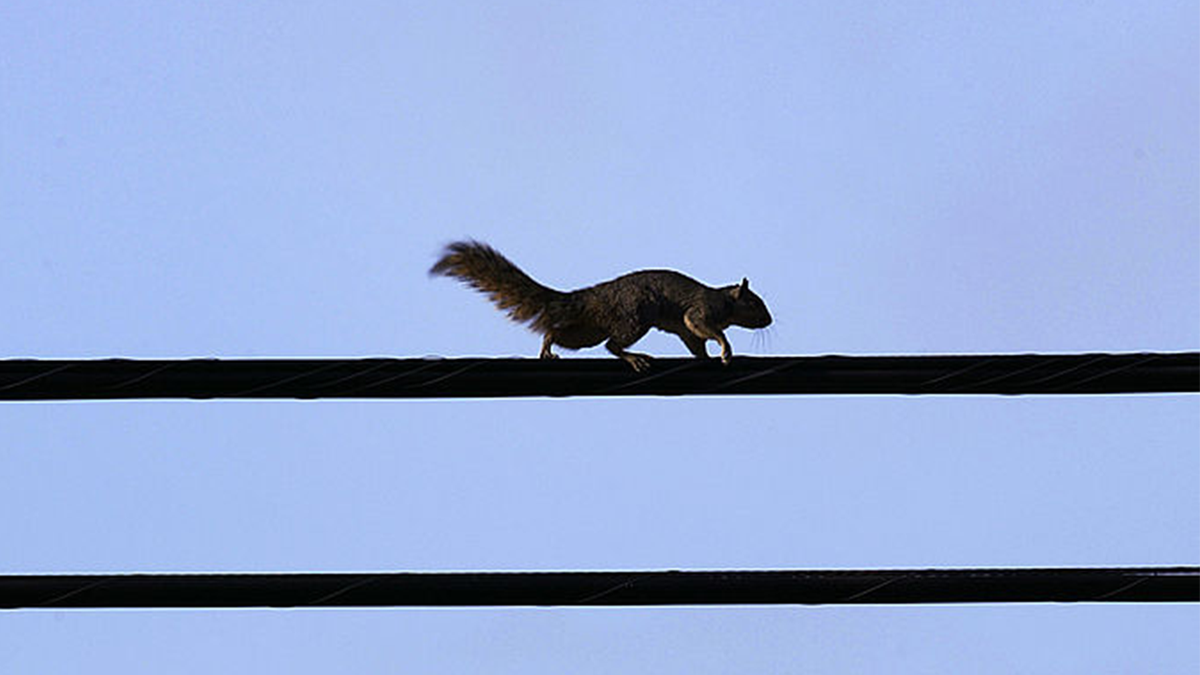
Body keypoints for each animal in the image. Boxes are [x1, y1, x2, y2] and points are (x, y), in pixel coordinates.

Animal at [427, 239, 772, 369]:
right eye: (755, 303)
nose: (769, 321)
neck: (724, 300)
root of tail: (594, 296)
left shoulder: (689, 331)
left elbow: (695, 342)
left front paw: (707, 357)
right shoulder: (702, 310)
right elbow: (703, 327)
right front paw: (725, 348)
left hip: (587, 331)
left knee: (564, 333)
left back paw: (547, 346)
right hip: (634, 317)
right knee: (611, 345)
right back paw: (632, 357)